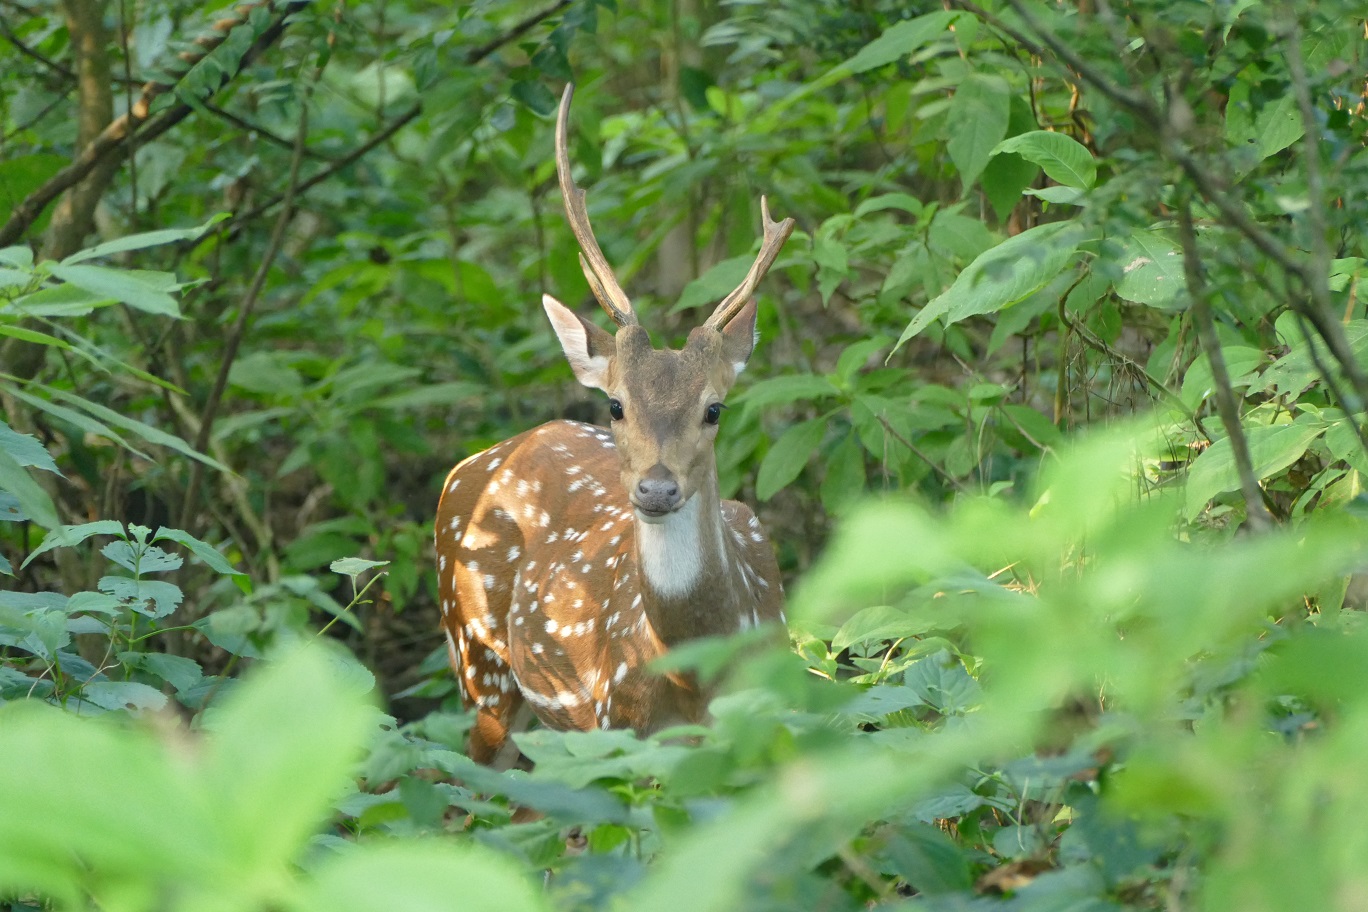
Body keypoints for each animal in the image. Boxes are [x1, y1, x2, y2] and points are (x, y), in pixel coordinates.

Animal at [435, 84, 794, 767]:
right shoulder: (622, 726)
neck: (696, 674)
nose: (656, 488)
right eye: (616, 405)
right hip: (476, 658)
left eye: (714, 408)